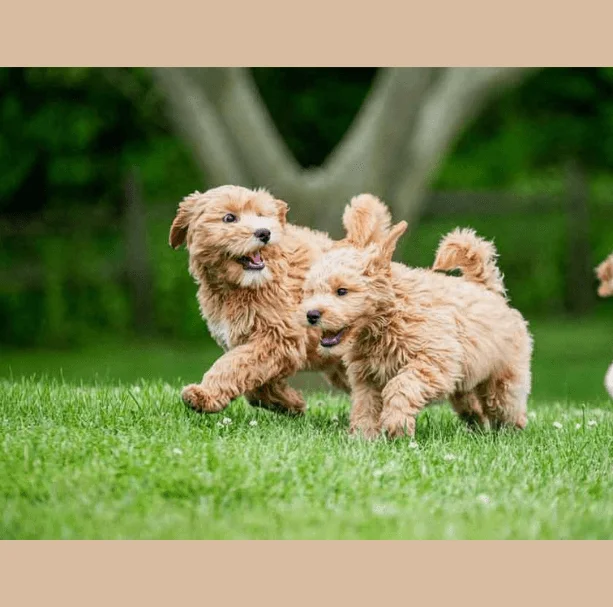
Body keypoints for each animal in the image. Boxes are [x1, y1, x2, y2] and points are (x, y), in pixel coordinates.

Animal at [169, 184, 350, 414]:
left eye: (261, 215)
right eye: (229, 218)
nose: (264, 232)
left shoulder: (277, 337)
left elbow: (233, 365)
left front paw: (204, 395)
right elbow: (254, 381)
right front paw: (288, 401)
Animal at [302, 197, 532, 440]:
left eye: (342, 291)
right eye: (310, 292)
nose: (311, 314)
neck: (389, 317)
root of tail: (487, 288)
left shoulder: (433, 361)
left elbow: (401, 385)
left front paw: (396, 425)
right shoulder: (368, 377)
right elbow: (365, 405)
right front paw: (363, 437)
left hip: (503, 380)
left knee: (506, 406)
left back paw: (510, 432)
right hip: (466, 378)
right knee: (471, 403)